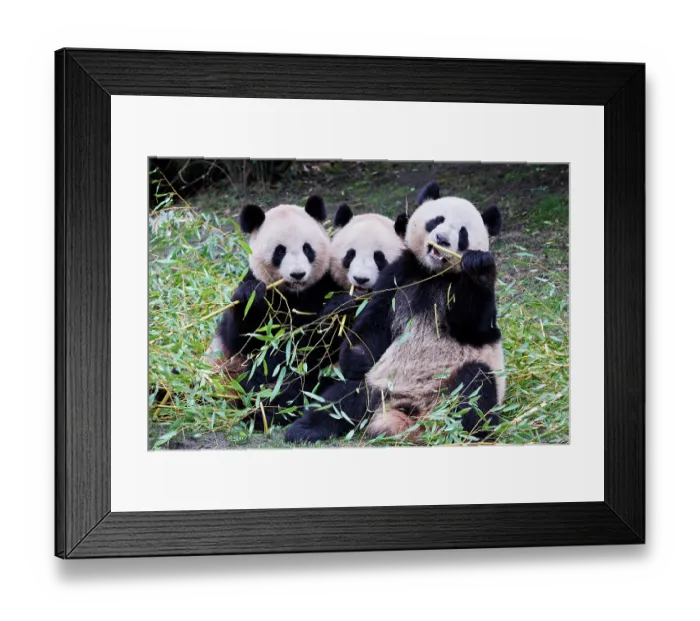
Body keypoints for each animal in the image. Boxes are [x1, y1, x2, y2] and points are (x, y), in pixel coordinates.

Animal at [205, 195, 338, 429]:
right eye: (280, 251)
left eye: (307, 248)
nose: (297, 274)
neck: (294, 295)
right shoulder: (258, 286)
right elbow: (242, 340)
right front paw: (251, 295)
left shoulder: (323, 284)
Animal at [285, 181, 505, 444]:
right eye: (436, 220)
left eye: (462, 233)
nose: (441, 238)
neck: (433, 274)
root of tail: (411, 413)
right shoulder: (399, 275)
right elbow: (376, 321)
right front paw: (357, 356)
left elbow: (475, 326)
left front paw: (479, 268)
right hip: (378, 385)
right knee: (342, 398)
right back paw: (304, 428)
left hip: (455, 385)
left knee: (475, 388)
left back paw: (467, 433)